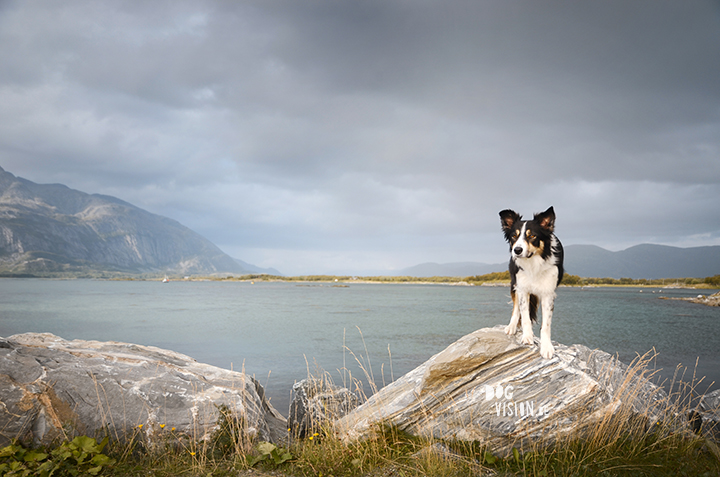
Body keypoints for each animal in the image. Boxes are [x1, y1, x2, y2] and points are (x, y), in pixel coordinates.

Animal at [498, 205, 564, 356]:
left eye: (532, 236)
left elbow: (546, 324)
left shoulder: (548, 293)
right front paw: (527, 337)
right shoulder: (522, 288)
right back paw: (511, 326)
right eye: (514, 236)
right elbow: (525, 315)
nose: (517, 250)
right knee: (516, 307)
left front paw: (546, 347)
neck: (533, 262)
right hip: (514, 283)